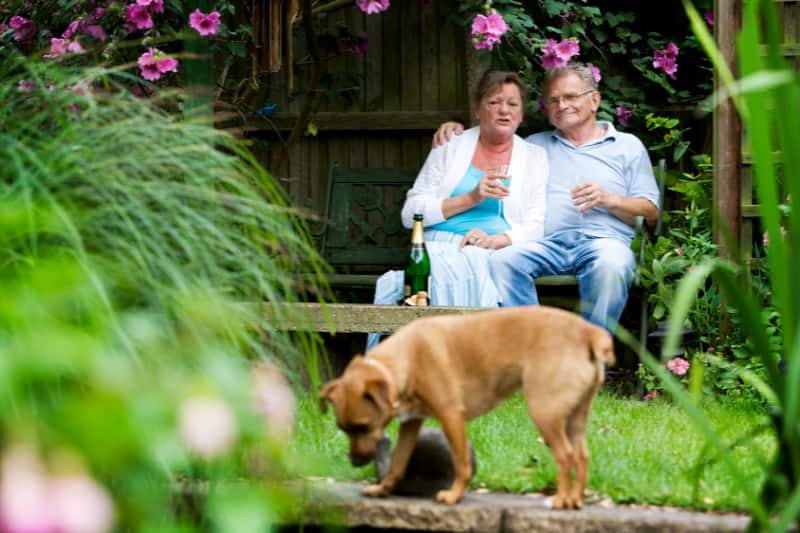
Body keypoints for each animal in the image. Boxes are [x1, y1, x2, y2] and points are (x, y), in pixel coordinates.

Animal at [318, 306, 612, 504]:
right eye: (343, 429)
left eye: (363, 427)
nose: (355, 462)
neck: (404, 359)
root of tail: (587, 332)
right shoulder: (411, 424)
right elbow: (398, 462)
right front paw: (383, 489)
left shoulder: (450, 416)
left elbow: (461, 463)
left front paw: (454, 495)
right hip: (575, 417)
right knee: (582, 456)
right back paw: (574, 500)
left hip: (545, 413)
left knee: (566, 456)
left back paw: (560, 500)